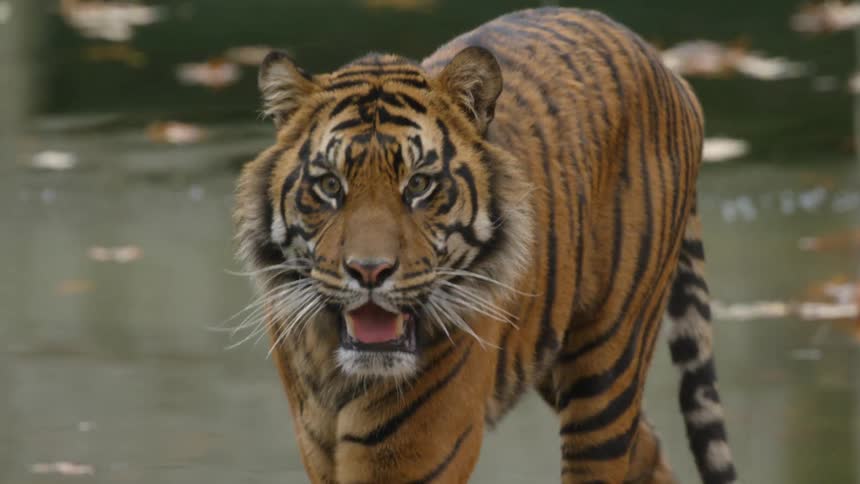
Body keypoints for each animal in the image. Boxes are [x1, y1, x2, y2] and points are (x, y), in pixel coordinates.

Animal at [233, 7, 738, 484]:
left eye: (418, 184)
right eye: (329, 186)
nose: (369, 271)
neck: (337, 370)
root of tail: (665, 65)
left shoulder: (413, 452)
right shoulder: (317, 445)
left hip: (608, 361)